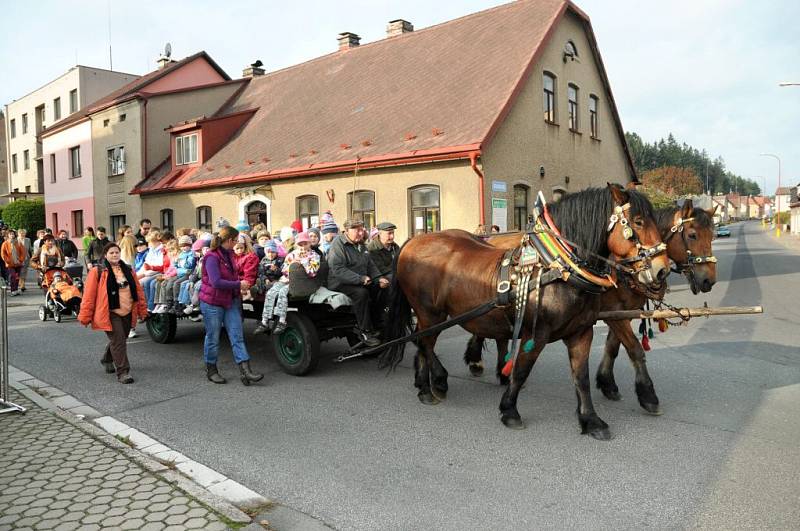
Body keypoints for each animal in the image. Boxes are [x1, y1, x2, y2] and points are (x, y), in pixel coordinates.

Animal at [382, 185, 668, 438]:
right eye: (638, 222)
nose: (662, 269)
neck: (557, 268)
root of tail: (413, 240)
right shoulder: (536, 333)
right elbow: (521, 370)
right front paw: (509, 410)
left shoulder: (581, 332)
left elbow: (582, 377)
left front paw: (591, 420)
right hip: (430, 312)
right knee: (424, 343)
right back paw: (436, 383)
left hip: (431, 315)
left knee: (423, 343)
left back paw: (425, 384)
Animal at [462, 200, 720, 416]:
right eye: (693, 234)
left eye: (713, 235)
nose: (709, 280)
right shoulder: (614, 315)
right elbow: (634, 349)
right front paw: (648, 395)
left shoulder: (619, 313)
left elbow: (613, 348)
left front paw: (607, 383)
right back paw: (478, 362)